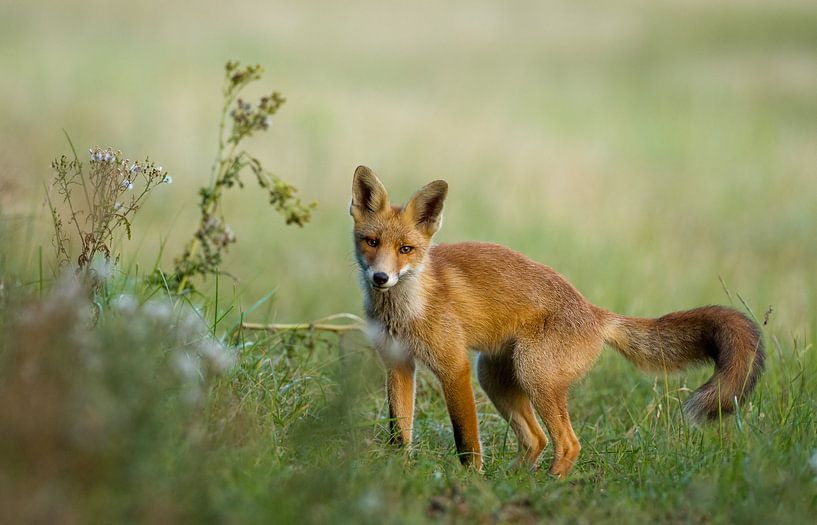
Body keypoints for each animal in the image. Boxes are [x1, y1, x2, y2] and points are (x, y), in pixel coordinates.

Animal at [350, 166, 764, 476]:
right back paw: (516, 481)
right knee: (538, 439)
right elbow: (399, 431)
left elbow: (466, 440)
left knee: (568, 443)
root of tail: (595, 312)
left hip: (532, 374)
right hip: (497, 377)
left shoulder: (454, 368)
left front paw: (470, 481)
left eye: (406, 249)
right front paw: (396, 470)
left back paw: (549, 483)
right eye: (371, 242)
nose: (381, 278)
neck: (406, 311)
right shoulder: (398, 364)